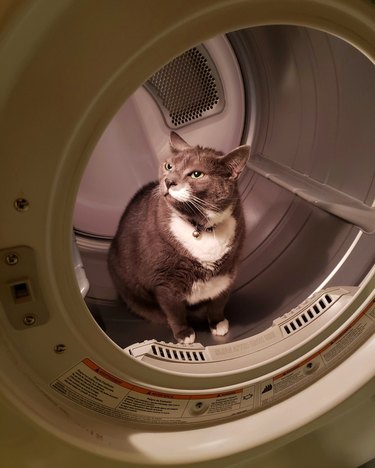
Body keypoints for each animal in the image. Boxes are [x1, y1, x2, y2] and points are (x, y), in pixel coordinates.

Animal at [108, 132, 250, 344]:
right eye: (169, 166)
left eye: (197, 174)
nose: (169, 181)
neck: (201, 227)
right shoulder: (164, 281)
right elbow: (174, 311)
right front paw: (185, 334)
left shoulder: (228, 273)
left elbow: (218, 302)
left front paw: (218, 323)